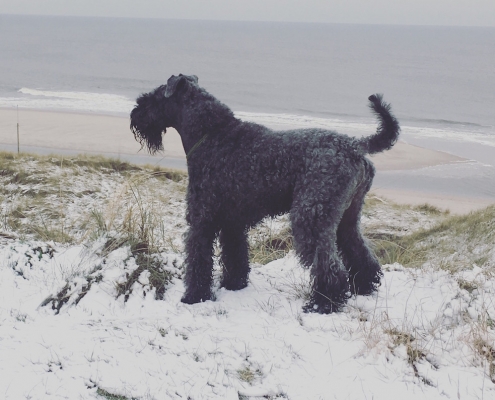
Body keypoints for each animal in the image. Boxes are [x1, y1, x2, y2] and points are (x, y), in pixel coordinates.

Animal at [130, 75, 402, 312]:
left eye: (154, 97)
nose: (134, 114)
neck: (212, 134)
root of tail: (354, 146)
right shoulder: (232, 222)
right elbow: (235, 255)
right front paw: (234, 285)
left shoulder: (202, 220)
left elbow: (199, 259)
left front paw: (194, 297)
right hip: (347, 218)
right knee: (358, 251)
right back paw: (364, 286)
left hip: (310, 218)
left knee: (329, 266)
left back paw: (323, 304)